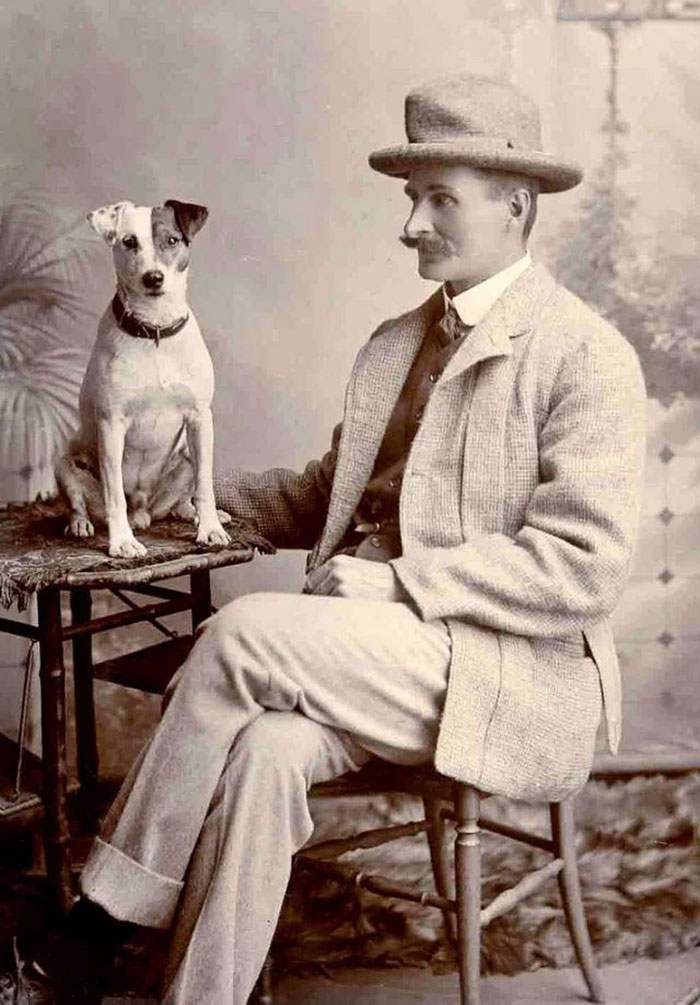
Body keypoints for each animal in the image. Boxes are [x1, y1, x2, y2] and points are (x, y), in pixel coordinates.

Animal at [55, 195, 228, 558]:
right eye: (129, 242)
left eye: (172, 240)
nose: (154, 278)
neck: (155, 330)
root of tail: (145, 512)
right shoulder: (111, 425)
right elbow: (114, 495)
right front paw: (122, 542)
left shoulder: (199, 418)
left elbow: (205, 487)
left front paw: (210, 529)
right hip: (65, 464)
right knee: (80, 504)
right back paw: (80, 525)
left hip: (188, 453)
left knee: (184, 499)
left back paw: (196, 514)